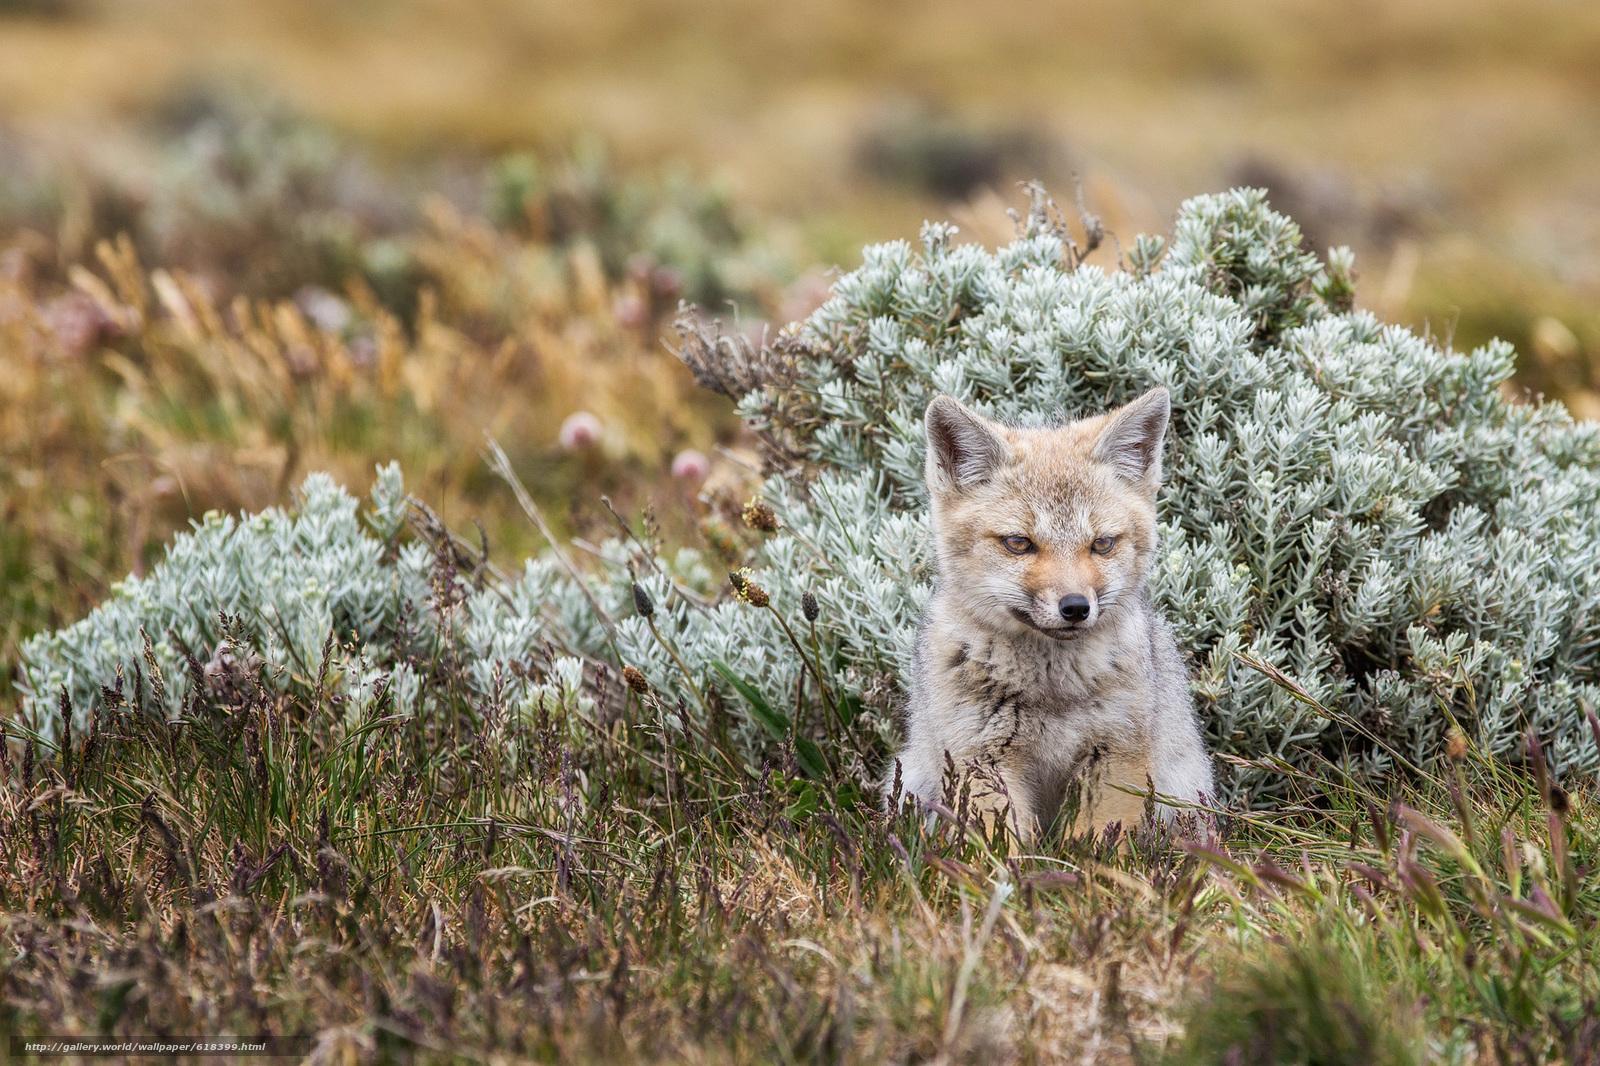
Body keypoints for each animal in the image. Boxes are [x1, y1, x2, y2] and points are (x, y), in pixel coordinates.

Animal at [889, 385, 1209, 845]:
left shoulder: (1115, 757)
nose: (1075, 607)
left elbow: (1101, 848)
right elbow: (1000, 850)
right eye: (1019, 543)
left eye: (1102, 544)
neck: (1052, 691)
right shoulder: (982, 759)